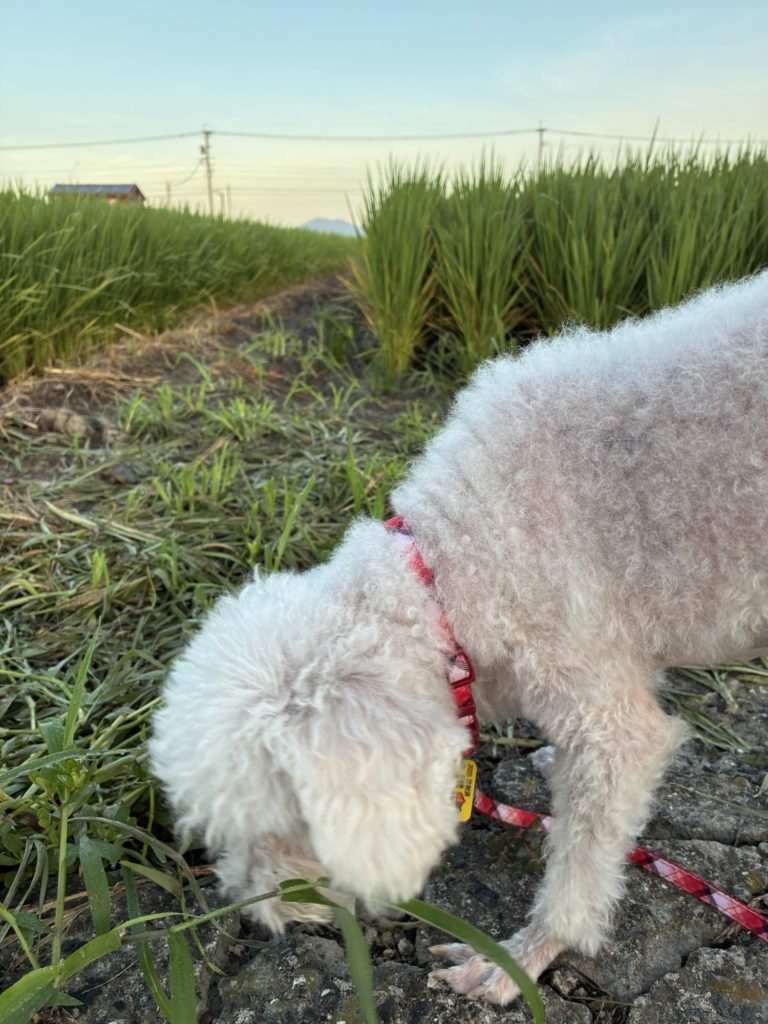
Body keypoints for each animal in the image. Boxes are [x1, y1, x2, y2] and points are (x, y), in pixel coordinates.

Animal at [150, 272, 768, 1006]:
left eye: (284, 830)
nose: (250, 914)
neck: (454, 565)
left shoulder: (596, 690)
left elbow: (585, 853)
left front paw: (523, 956)